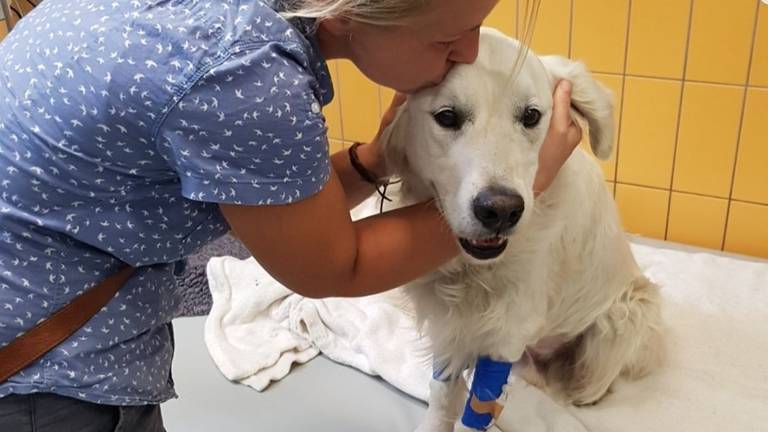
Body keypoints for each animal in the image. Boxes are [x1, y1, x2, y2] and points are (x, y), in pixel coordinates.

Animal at [378, 28, 664, 430]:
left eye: (531, 116)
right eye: (447, 117)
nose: (501, 211)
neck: (473, 270)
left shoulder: (507, 330)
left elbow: (477, 408)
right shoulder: (450, 324)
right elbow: (442, 392)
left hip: (630, 311)